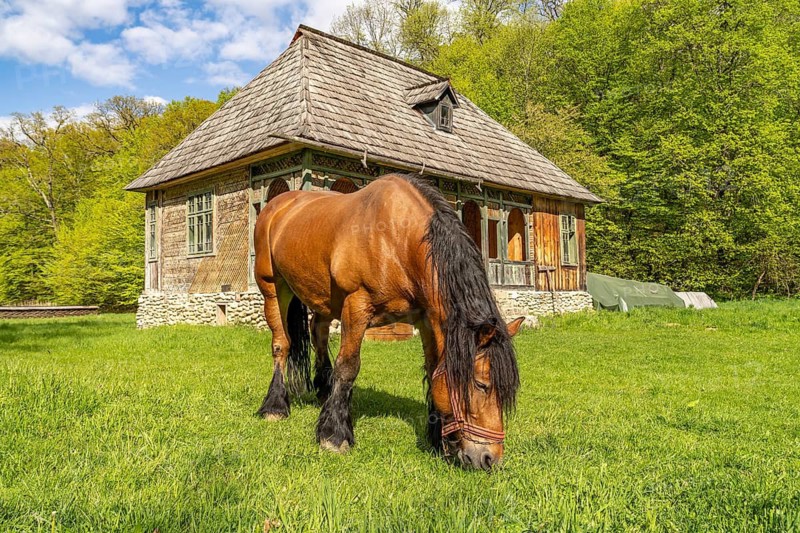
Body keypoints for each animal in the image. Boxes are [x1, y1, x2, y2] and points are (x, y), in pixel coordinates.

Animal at [253, 173, 523, 470]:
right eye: (481, 384)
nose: (490, 459)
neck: (396, 240)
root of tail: (277, 205)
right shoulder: (355, 307)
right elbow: (348, 366)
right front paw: (334, 434)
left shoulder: (425, 320)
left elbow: (432, 370)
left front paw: (437, 439)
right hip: (273, 289)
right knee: (281, 344)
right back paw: (275, 406)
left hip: (323, 297)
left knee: (318, 334)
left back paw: (324, 391)